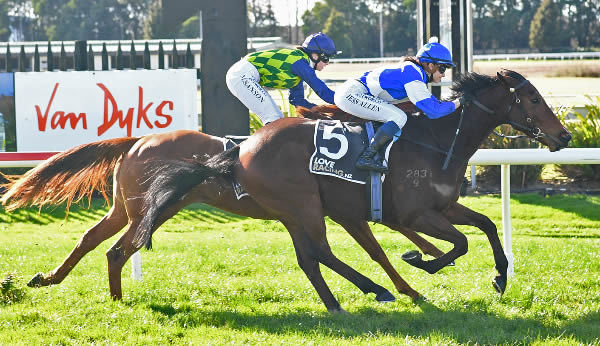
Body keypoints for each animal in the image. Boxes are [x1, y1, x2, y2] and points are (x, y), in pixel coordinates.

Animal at [1, 129, 446, 302]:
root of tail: (136, 140)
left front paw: (423, 264)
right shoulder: (341, 208)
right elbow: (385, 242)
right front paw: (415, 274)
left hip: (128, 209)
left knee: (92, 238)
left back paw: (58, 281)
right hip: (149, 210)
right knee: (116, 249)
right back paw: (113, 295)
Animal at [139, 69, 572, 310]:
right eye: (534, 98)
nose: (564, 136)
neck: (437, 140)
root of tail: (241, 148)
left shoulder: (444, 207)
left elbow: (487, 226)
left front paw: (500, 277)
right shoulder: (417, 214)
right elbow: (460, 244)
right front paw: (420, 260)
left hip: (292, 212)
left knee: (309, 258)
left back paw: (340, 303)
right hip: (305, 205)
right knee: (320, 252)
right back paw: (378, 289)